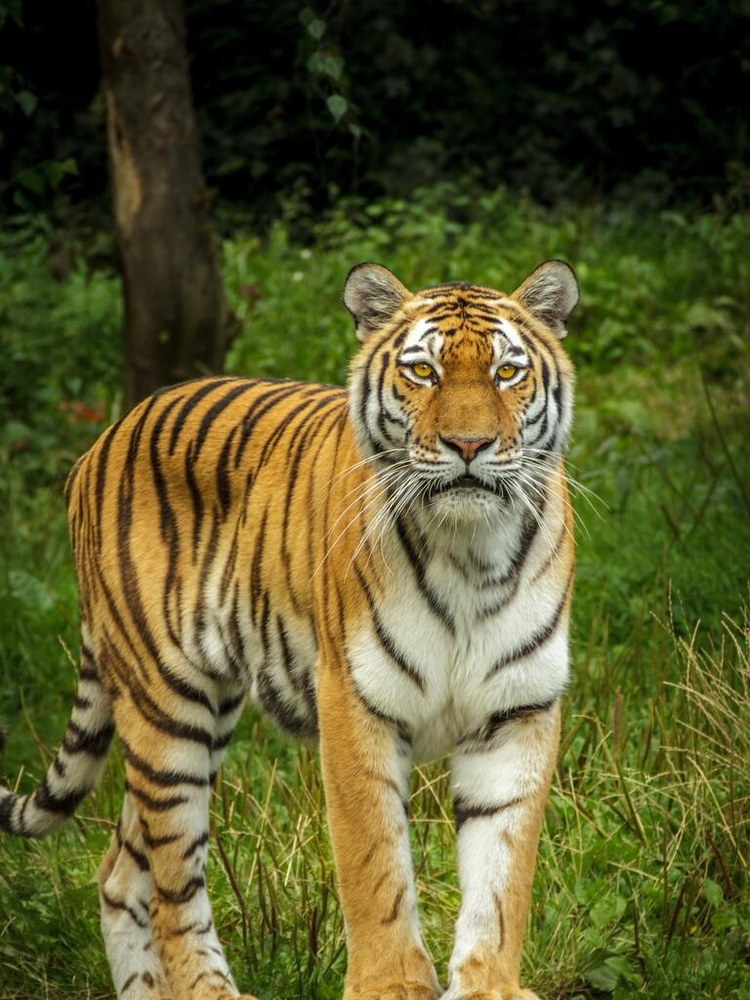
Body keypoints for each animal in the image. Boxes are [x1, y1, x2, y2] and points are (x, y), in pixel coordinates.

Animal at [0, 259, 578, 1000]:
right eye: (424, 372)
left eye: (507, 373)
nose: (469, 445)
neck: (471, 552)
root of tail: (104, 438)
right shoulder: (354, 702)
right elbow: (373, 863)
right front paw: (389, 986)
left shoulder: (518, 711)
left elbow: (503, 874)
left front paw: (489, 987)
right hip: (166, 709)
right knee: (171, 883)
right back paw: (211, 992)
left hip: (194, 714)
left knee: (122, 874)